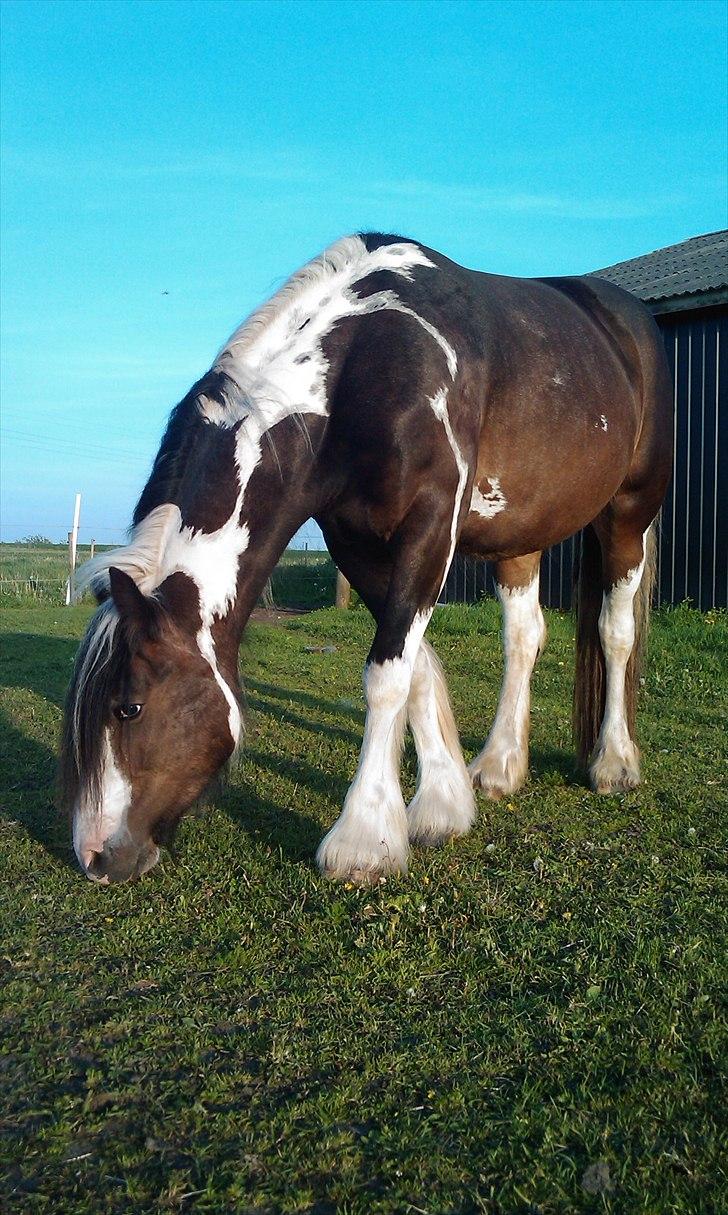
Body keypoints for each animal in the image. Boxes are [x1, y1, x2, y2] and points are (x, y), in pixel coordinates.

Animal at [59, 234, 675, 884]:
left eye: (129, 707)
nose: (95, 858)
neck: (366, 362)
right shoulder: (354, 542)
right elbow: (416, 665)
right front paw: (441, 805)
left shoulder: (429, 529)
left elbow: (386, 675)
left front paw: (363, 839)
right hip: (518, 536)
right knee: (524, 636)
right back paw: (500, 766)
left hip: (628, 514)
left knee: (615, 631)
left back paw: (614, 762)